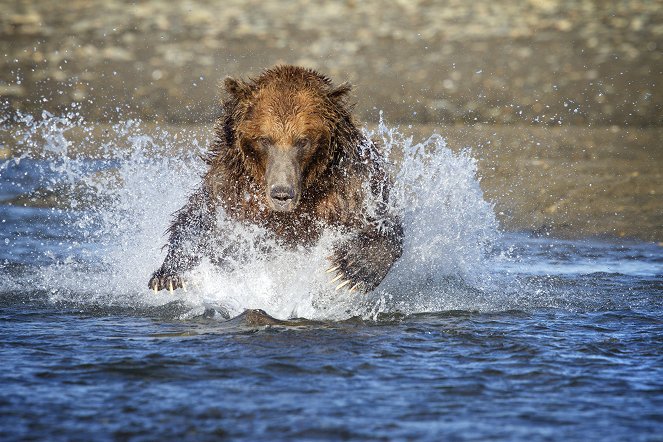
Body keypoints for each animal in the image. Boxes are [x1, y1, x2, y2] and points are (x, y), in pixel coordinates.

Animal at [148, 64, 402, 294]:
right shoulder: (232, 186)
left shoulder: (349, 183)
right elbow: (200, 220)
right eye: (264, 139)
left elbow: (379, 221)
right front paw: (168, 275)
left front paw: (350, 269)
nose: (282, 193)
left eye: (303, 140)